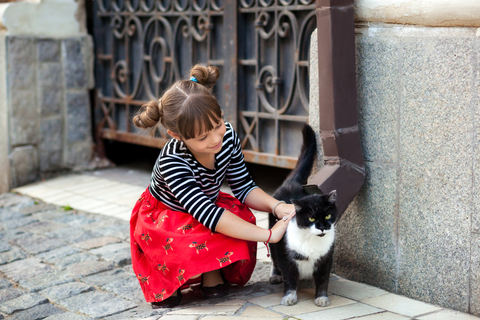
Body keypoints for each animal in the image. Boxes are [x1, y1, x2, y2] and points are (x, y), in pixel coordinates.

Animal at [266, 124, 338, 306]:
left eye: (328, 216)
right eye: (311, 218)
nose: (322, 227)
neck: (311, 240)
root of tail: (292, 183)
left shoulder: (326, 259)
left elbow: (323, 280)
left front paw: (321, 298)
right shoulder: (287, 256)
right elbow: (290, 279)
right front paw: (289, 297)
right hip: (274, 237)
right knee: (274, 258)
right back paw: (275, 276)